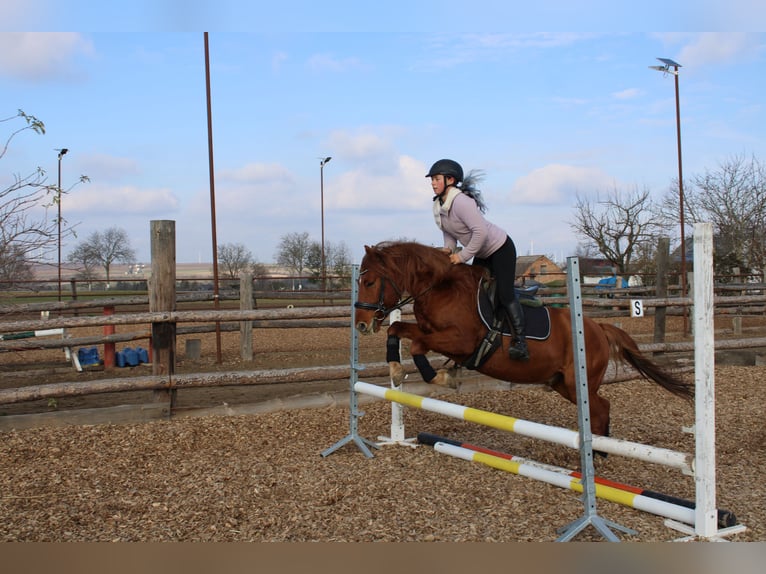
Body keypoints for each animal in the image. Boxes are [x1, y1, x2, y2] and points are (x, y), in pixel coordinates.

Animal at [354, 242, 696, 436]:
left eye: (369, 282)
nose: (360, 324)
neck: (441, 288)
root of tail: (599, 327)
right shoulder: (428, 329)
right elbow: (398, 331)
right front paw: (397, 370)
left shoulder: (461, 342)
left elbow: (418, 344)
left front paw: (440, 376)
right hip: (561, 383)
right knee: (601, 408)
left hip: (577, 383)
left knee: (600, 409)